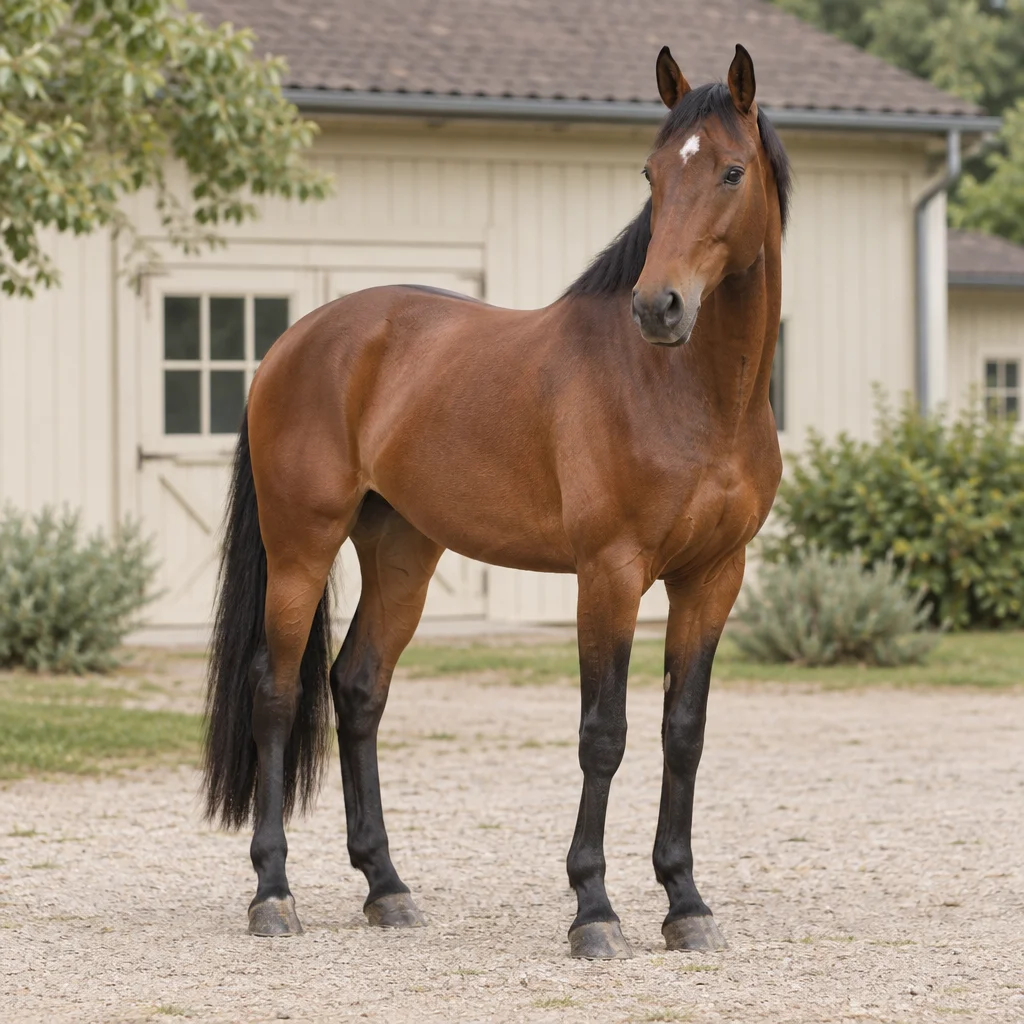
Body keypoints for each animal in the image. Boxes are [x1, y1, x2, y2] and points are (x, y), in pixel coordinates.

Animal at [203, 43, 792, 960]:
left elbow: (682, 733)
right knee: (278, 691)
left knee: (358, 687)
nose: (658, 306)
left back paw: (388, 888)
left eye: (731, 171)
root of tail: (293, 343)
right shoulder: (610, 575)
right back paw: (272, 894)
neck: (688, 393)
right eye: (653, 173)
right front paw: (595, 910)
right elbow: (604, 734)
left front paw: (686, 903)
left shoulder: (713, 578)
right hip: (302, 546)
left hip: (404, 551)